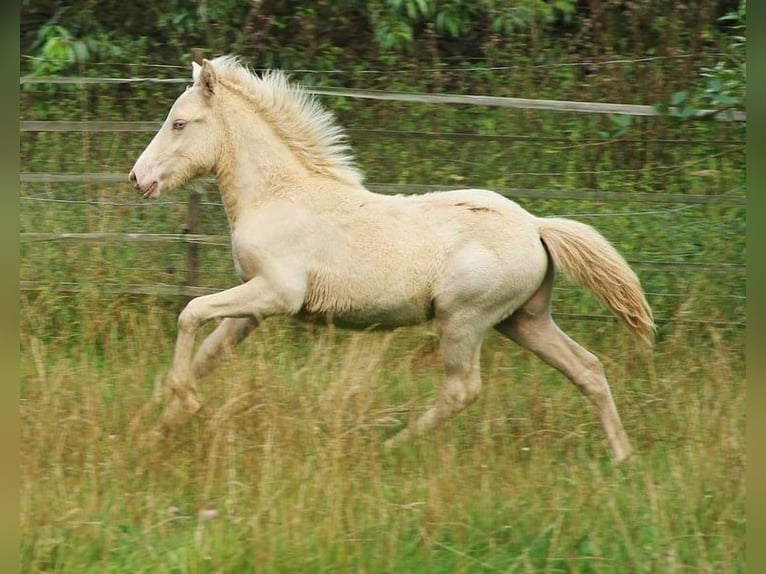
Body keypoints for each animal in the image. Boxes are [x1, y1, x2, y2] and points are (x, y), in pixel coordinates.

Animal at [129, 56, 654, 462]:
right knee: (587, 368)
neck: (281, 196)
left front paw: (185, 403)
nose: (137, 178)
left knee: (462, 390)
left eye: (179, 122)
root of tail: (536, 226)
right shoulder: (254, 305)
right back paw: (622, 457)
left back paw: (388, 446)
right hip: (523, 320)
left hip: (464, 319)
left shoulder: (276, 293)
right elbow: (208, 353)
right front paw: (161, 427)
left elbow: (189, 313)